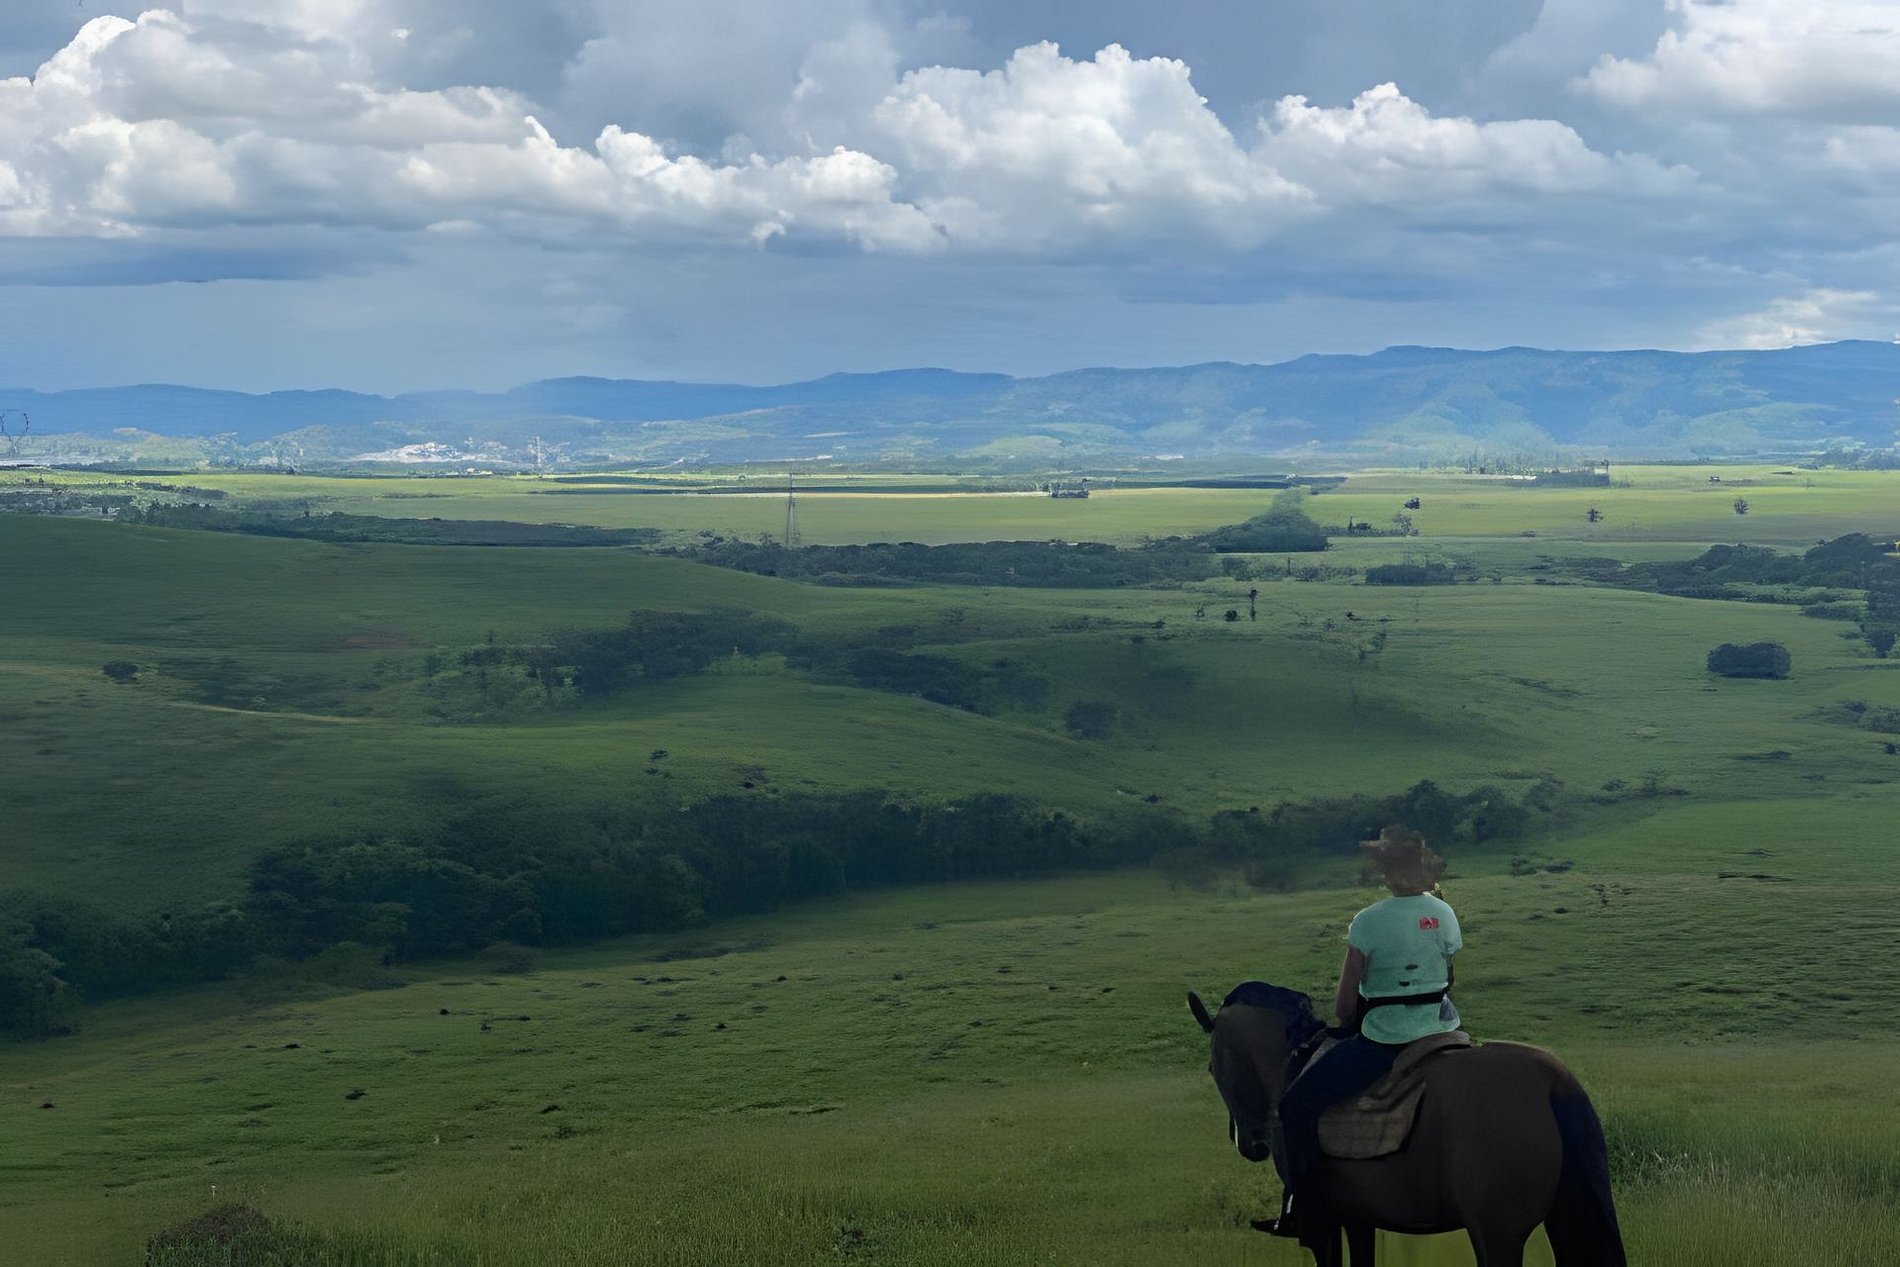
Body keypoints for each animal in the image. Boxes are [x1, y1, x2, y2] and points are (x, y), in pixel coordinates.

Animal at [1187, 983, 1626, 1267]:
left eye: (1213, 1067)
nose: (1249, 1142)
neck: (1293, 1062)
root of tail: (1554, 1081)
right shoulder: (1357, 1217)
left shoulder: (1322, 1224)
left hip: (1498, 1234)